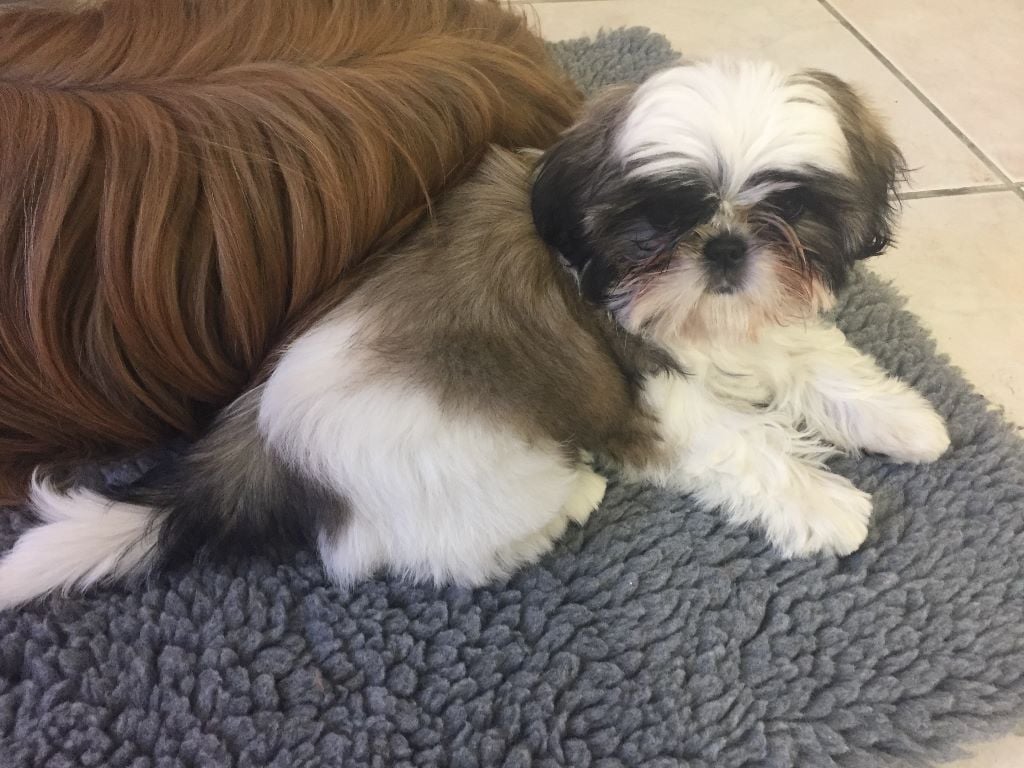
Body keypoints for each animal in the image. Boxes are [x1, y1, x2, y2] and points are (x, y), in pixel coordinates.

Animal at [0, 59, 951, 608]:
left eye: (791, 210)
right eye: (656, 222)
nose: (723, 247)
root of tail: (264, 446)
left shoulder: (747, 324)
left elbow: (812, 356)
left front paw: (902, 420)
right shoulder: (644, 389)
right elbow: (740, 445)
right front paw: (825, 504)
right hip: (480, 475)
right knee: (426, 552)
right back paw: (572, 500)